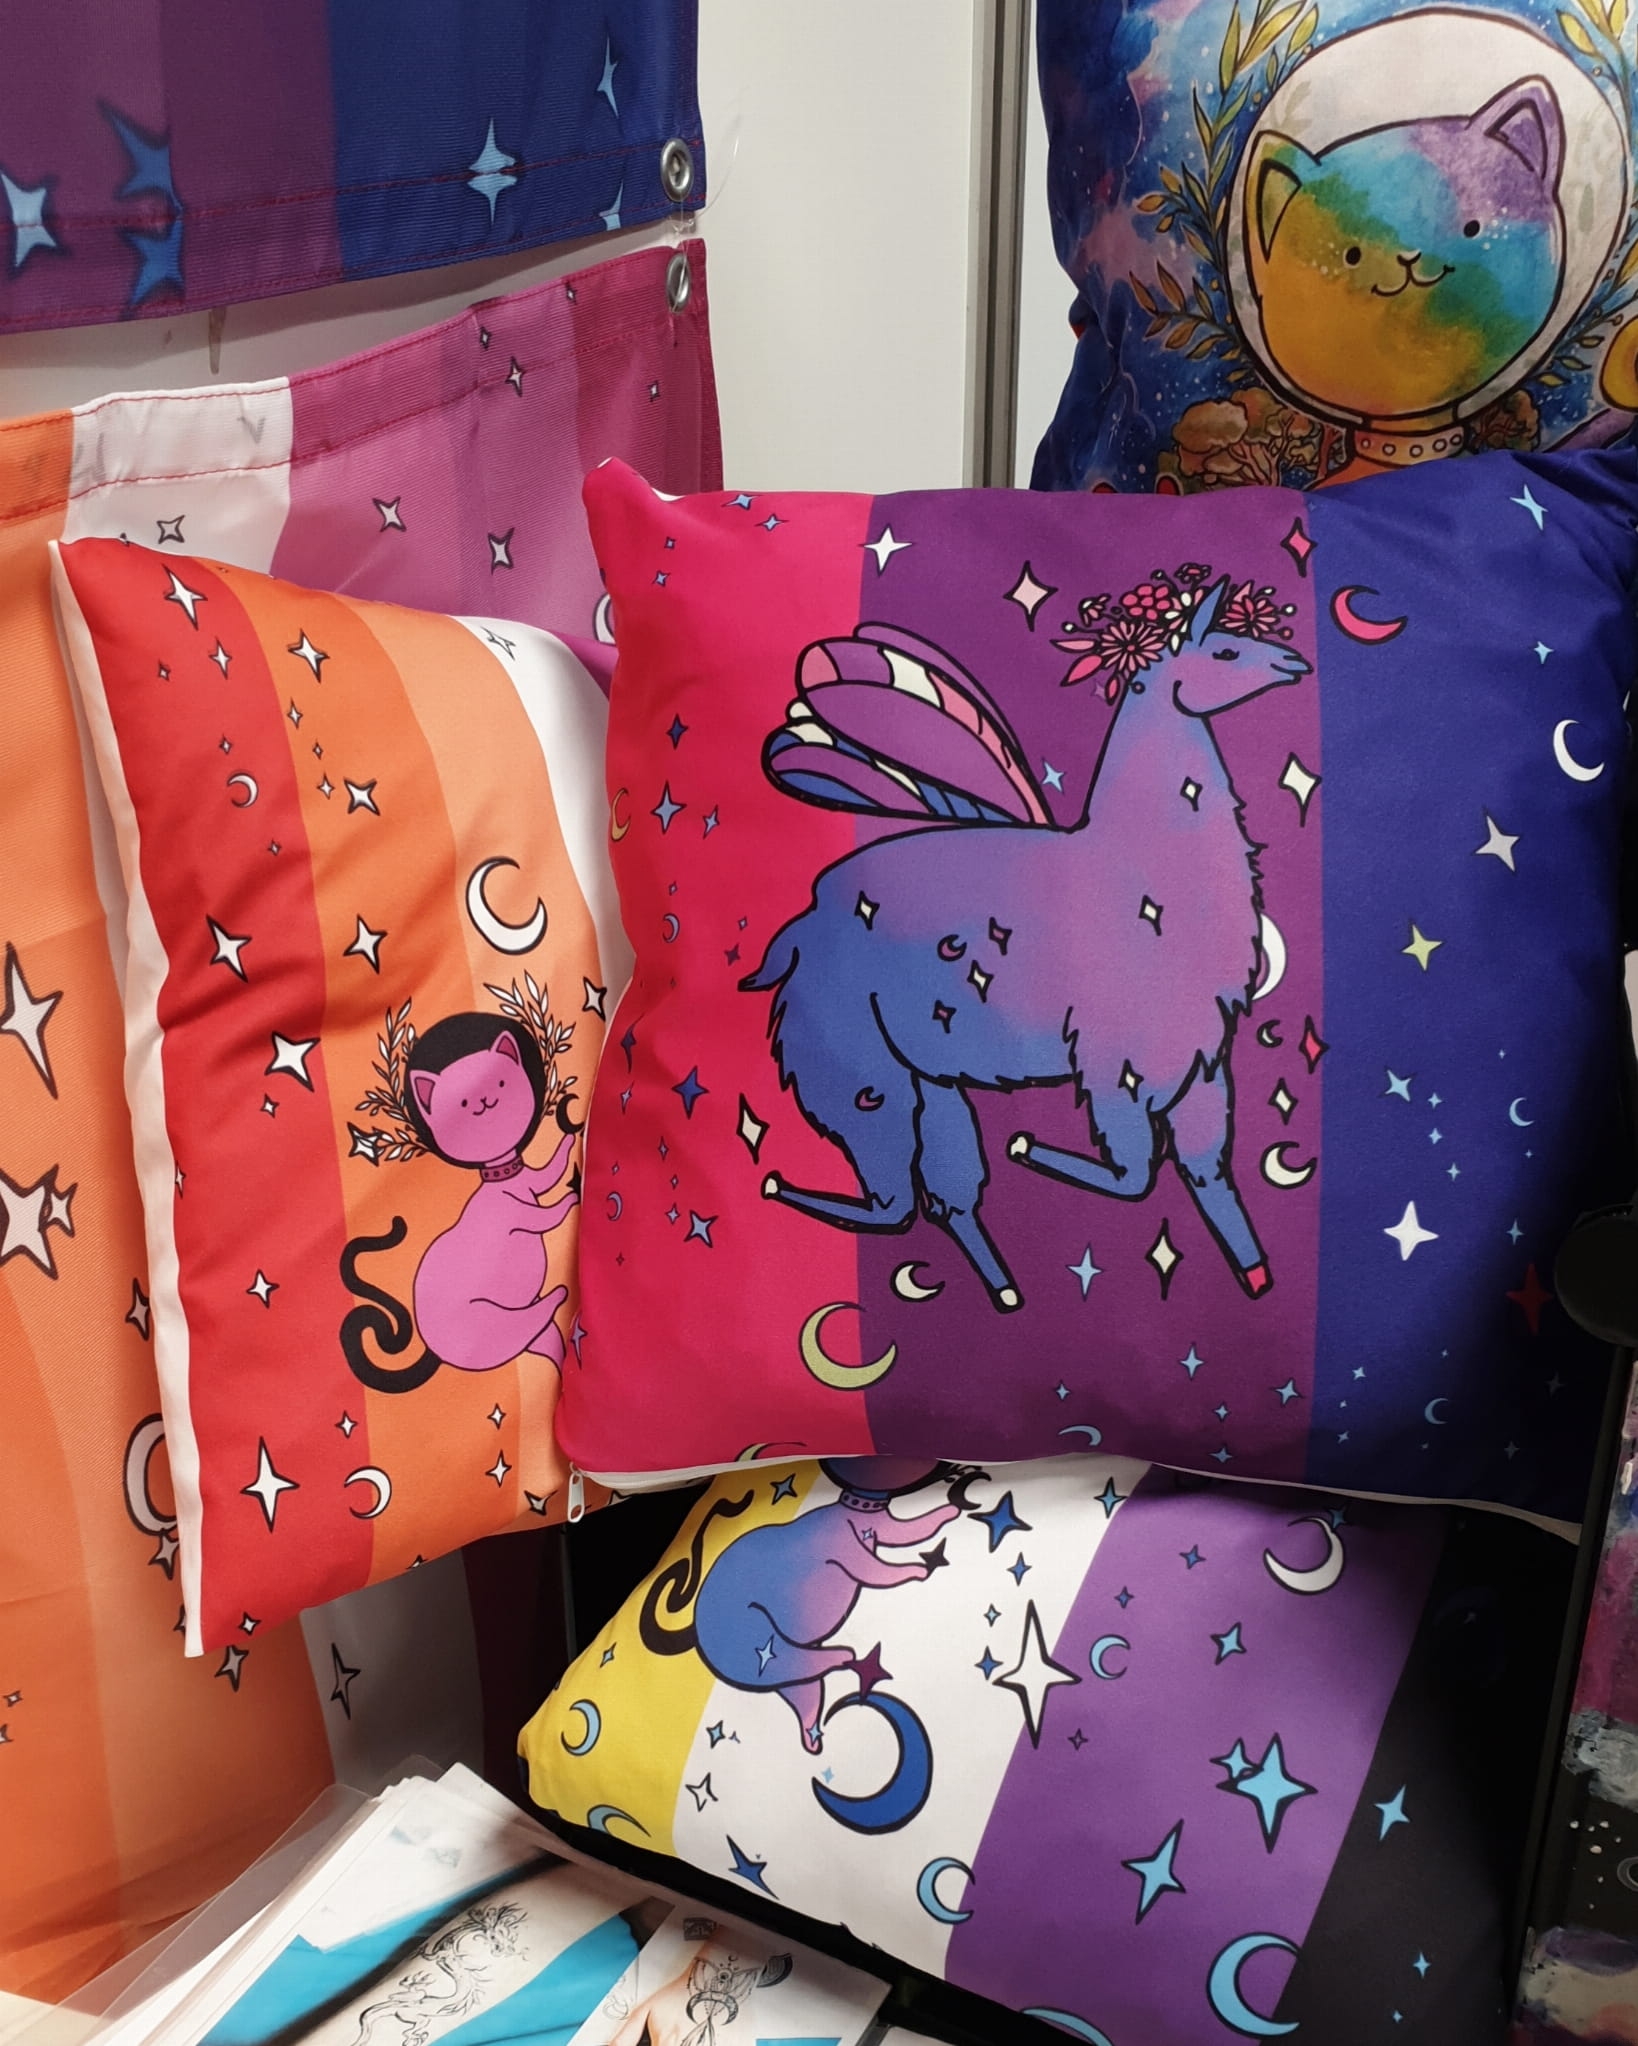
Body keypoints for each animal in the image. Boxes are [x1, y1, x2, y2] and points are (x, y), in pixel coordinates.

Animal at [740, 571, 1310, 1312]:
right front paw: (1032, 1150)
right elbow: (1135, 1175)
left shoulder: (1201, 1062)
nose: (1295, 665)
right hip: (855, 1056)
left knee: (939, 1193)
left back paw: (1006, 1291)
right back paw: (791, 1190)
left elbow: (1208, 1176)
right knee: (894, 1189)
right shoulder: (1120, 1059)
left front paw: (1256, 1277)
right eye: (1226, 652)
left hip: (924, 1069)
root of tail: (800, 928)